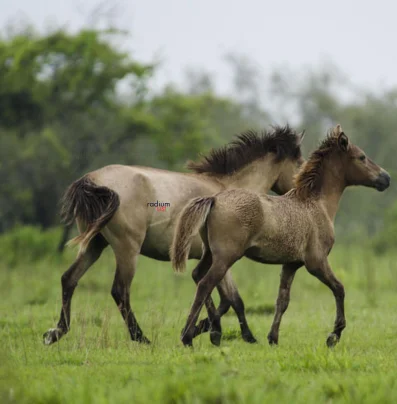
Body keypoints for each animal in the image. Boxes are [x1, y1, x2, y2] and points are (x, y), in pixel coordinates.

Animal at [42, 125, 304, 344]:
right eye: (300, 162)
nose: (299, 192)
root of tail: (92, 180)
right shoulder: (223, 257)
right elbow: (227, 299)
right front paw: (208, 332)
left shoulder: (214, 258)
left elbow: (230, 299)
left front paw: (229, 334)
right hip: (127, 249)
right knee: (120, 291)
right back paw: (141, 338)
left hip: (95, 244)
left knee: (69, 279)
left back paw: (55, 333)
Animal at [171, 125, 390, 348]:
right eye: (362, 157)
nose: (386, 178)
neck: (316, 204)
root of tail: (214, 199)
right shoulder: (316, 261)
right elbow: (339, 289)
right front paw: (333, 336)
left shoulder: (291, 264)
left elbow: (282, 300)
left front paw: (273, 338)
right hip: (225, 257)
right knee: (205, 284)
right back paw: (189, 337)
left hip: (209, 253)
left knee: (198, 276)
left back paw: (205, 331)